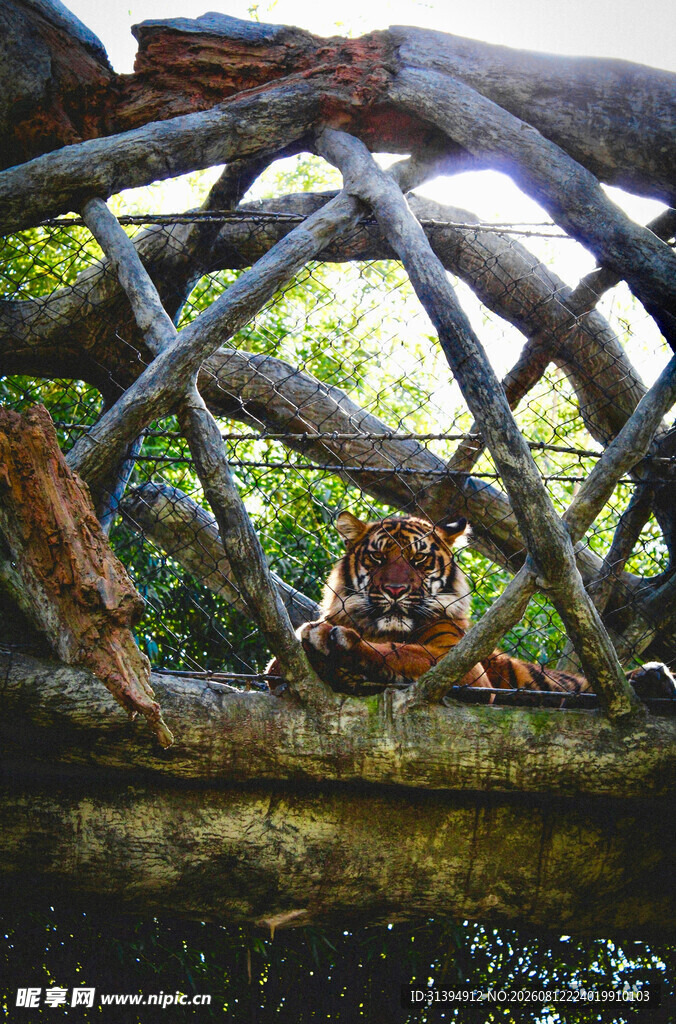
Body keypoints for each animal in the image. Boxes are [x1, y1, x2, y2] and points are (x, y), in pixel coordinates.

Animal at [269, 510, 676, 701]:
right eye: (378, 558)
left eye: (418, 560)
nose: (396, 590)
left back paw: (652, 678)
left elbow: (402, 652)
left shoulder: (462, 665)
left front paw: (333, 643)